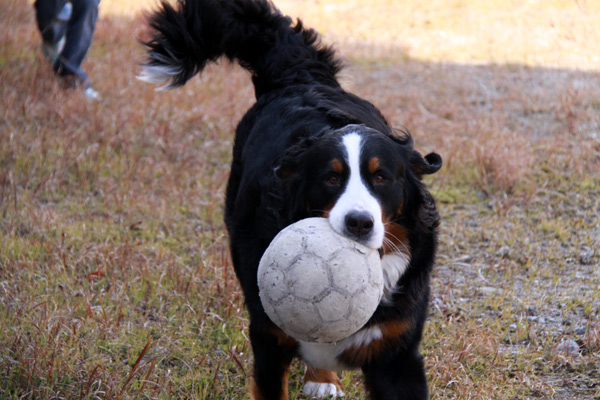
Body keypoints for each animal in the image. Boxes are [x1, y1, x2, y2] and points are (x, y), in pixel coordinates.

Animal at [139, 0, 440, 400]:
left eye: (380, 178)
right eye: (331, 178)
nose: (359, 223)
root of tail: (300, 77)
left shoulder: (397, 353)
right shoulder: (269, 341)